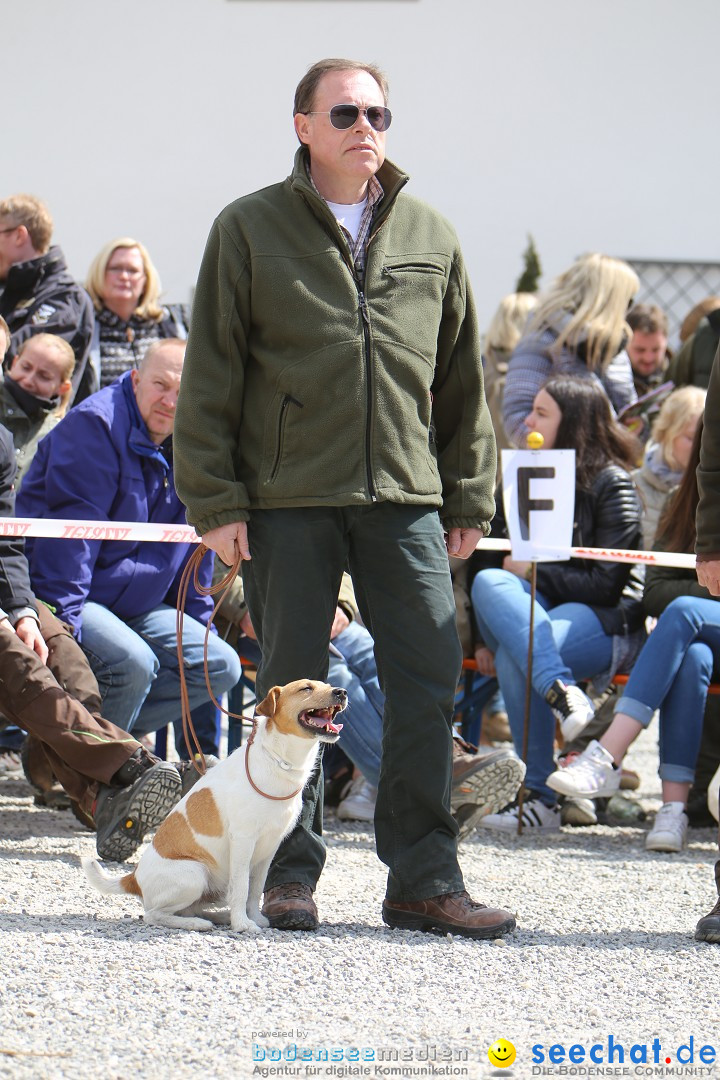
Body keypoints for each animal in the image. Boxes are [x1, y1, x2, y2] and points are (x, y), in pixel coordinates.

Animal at [81, 682, 345, 928]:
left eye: (326, 684)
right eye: (306, 688)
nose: (341, 692)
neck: (278, 761)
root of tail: (133, 878)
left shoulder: (270, 847)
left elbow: (255, 890)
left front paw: (254, 918)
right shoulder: (243, 841)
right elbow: (241, 887)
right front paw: (242, 924)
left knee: (188, 909)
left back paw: (217, 917)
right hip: (195, 874)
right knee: (153, 915)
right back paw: (199, 924)